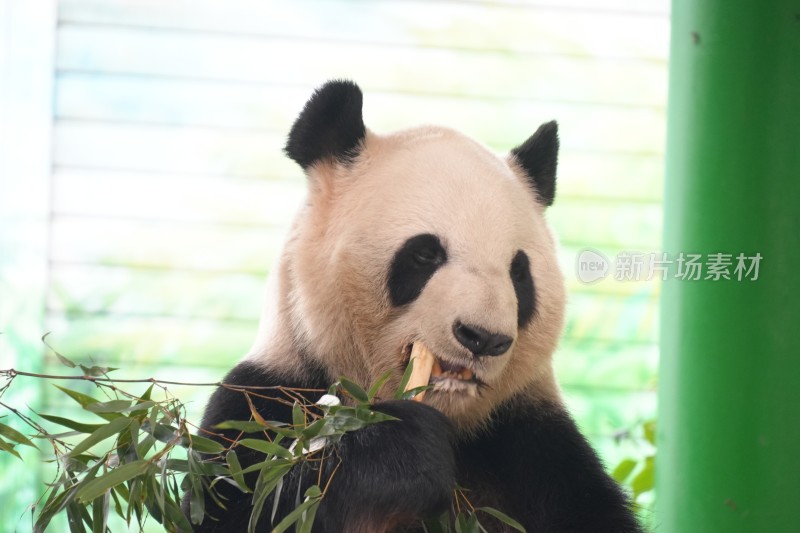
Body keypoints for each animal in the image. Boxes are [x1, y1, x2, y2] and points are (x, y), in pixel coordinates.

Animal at [192, 80, 644, 532]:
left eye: (519, 273)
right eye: (425, 254)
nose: (483, 338)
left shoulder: (532, 444)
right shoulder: (267, 403)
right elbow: (252, 500)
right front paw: (405, 456)